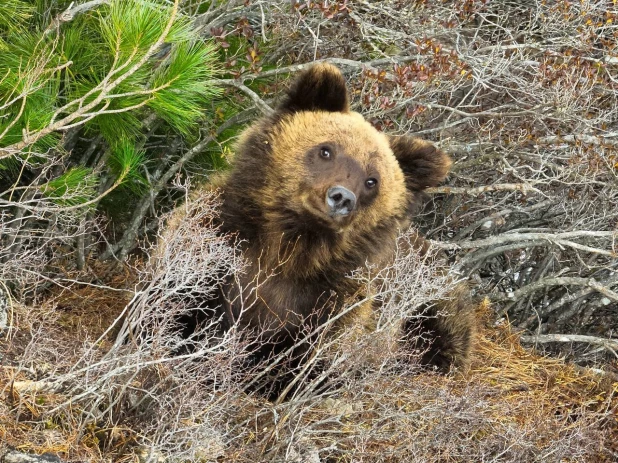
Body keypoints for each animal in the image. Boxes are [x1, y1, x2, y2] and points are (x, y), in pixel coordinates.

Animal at [167, 61, 472, 396]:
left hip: (433, 295)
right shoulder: (215, 238)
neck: (290, 247)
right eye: (326, 150)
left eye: (372, 180)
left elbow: (309, 358)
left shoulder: (336, 297)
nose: (341, 197)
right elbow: (182, 303)